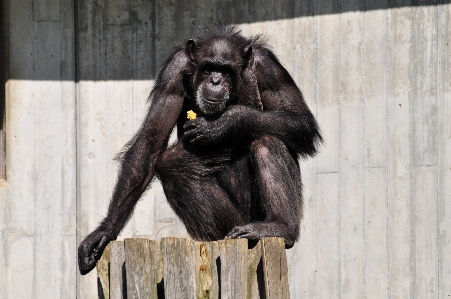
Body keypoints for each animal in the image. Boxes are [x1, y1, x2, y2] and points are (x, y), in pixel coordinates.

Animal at [79, 24, 324, 276]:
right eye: (208, 68)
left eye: (226, 71)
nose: (215, 80)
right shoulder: (172, 74)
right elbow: (150, 141)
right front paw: (104, 232)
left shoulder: (270, 69)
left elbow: (301, 121)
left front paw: (225, 123)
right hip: (235, 222)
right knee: (173, 165)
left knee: (268, 140)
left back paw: (279, 227)